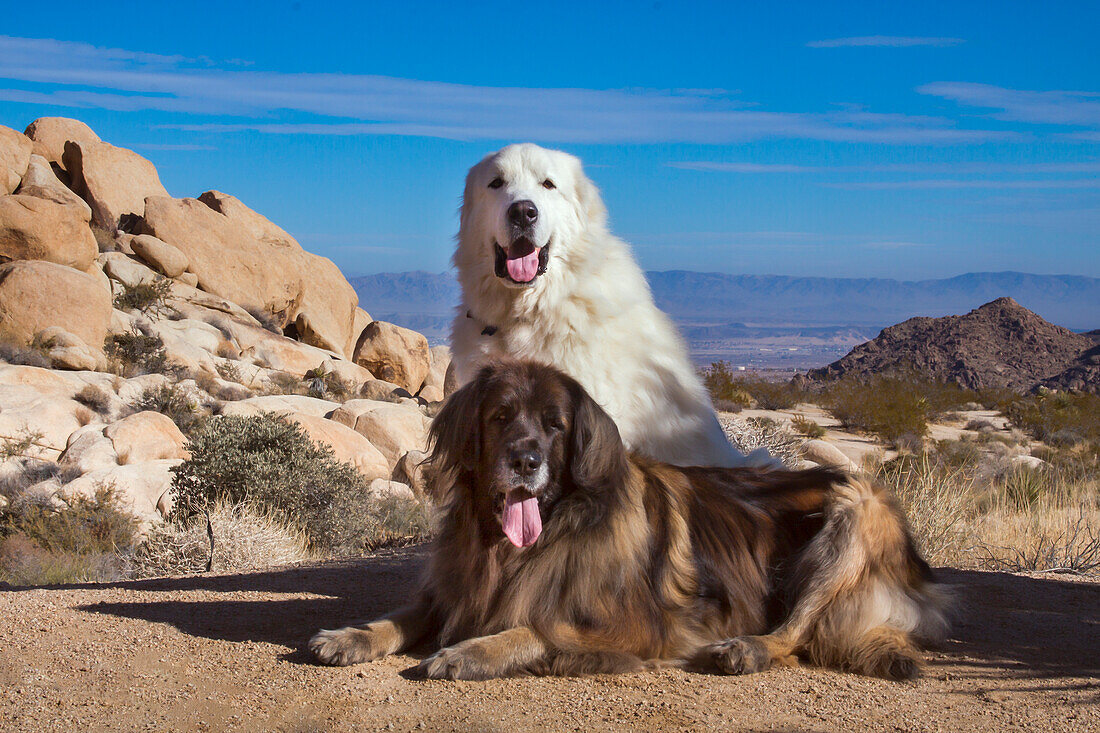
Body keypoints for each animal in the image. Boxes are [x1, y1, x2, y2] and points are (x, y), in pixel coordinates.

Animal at [308, 358, 946, 677]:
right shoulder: (453, 587)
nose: (526, 461)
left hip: (854, 516)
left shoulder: (637, 625)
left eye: (556, 425)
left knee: (795, 631)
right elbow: (401, 615)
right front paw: (351, 636)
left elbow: (536, 625)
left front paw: (470, 652)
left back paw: (746, 649)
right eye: (501, 416)